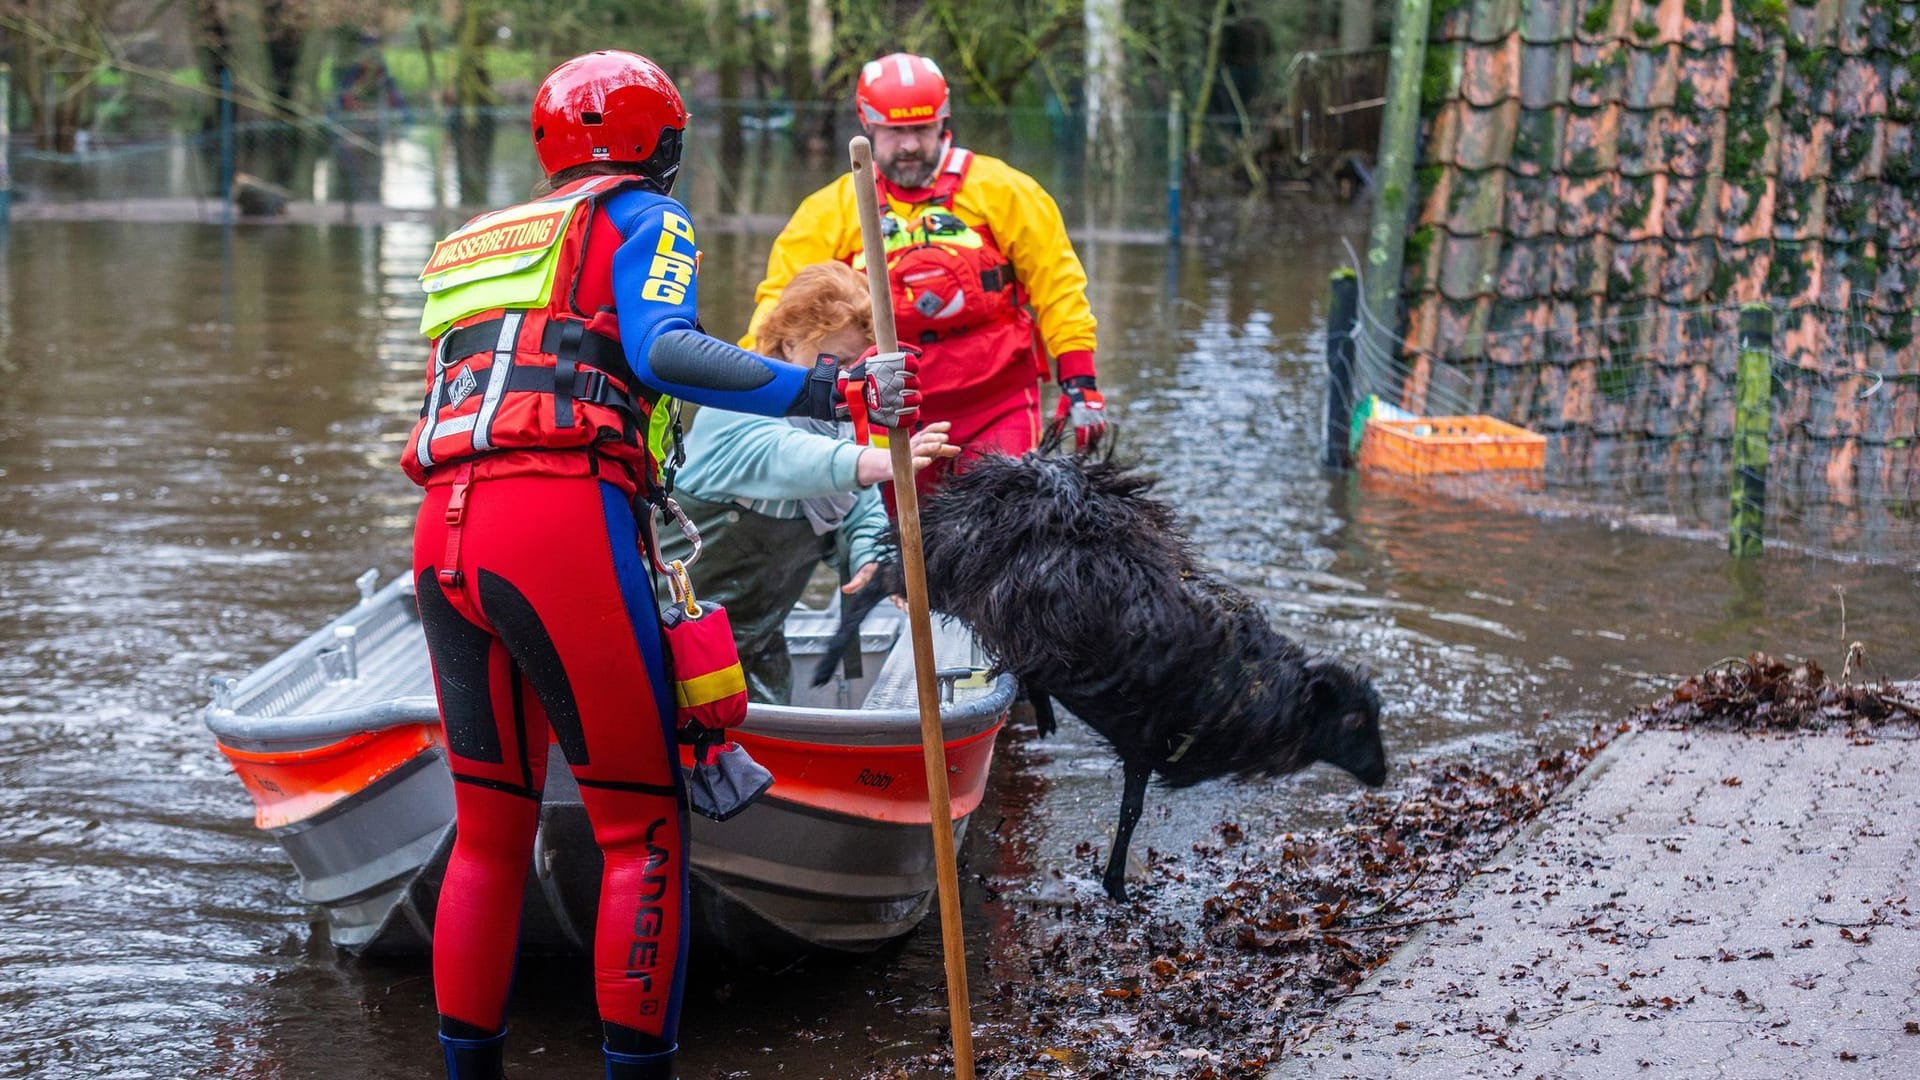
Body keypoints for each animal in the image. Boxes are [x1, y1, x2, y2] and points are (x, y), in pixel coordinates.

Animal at [817, 445, 1390, 899]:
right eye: (1353, 720)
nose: (1383, 776)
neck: (1247, 689)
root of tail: (1008, 477)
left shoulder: (1143, 744)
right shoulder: (1143, 742)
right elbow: (1131, 813)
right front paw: (1115, 885)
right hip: (943, 569)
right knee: (876, 584)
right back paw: (826, 664)